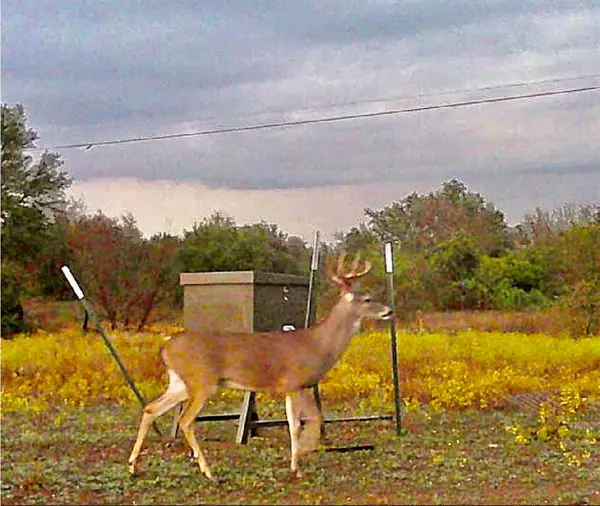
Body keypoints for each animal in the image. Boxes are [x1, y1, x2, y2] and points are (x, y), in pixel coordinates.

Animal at [126, 253, 394, 478]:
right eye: (368, 298)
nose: (389, 310)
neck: (318, 345)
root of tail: (166, 344)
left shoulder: (293, 388)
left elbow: (298, 422)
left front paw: (296, 461)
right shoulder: (295, 382)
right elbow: (304, 423)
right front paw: (301, 460)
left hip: (180, 382)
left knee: (151, 409)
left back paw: (133, 466)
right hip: (202, 381)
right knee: (185, 420)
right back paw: (207, 471)